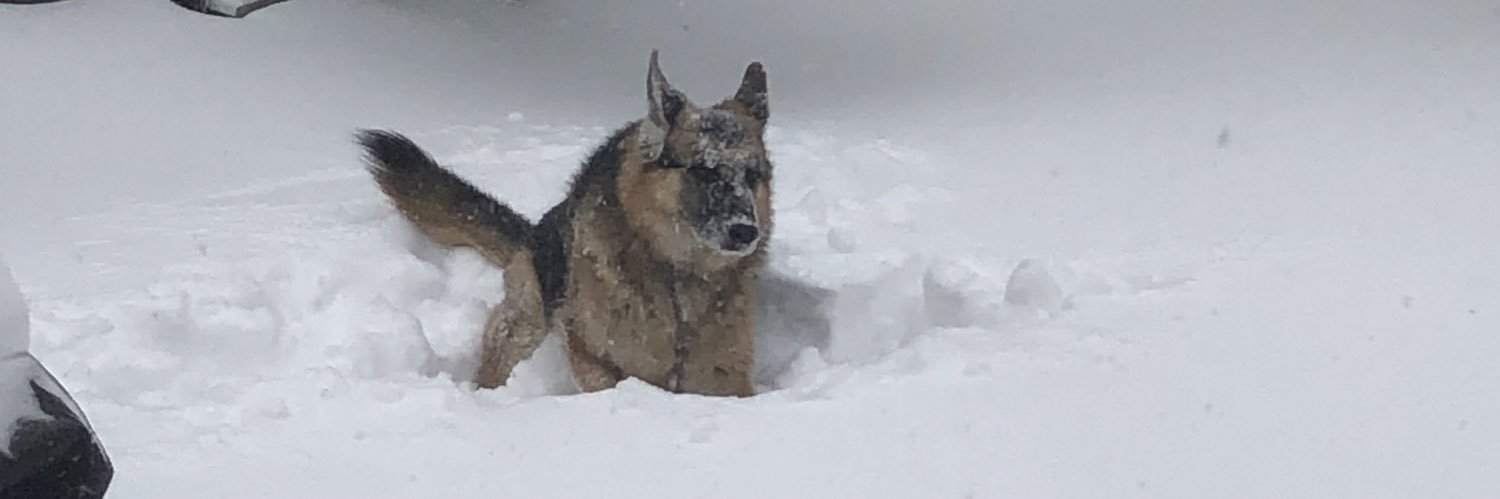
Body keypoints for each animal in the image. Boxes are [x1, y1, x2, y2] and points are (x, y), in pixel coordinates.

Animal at [357, 51, 773, 397]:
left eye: (752, 176)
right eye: (703, 170)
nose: (745, 232)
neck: (680, 279)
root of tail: (535, 232)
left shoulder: (723, 378)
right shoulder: (595, 355)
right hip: (527, 319)